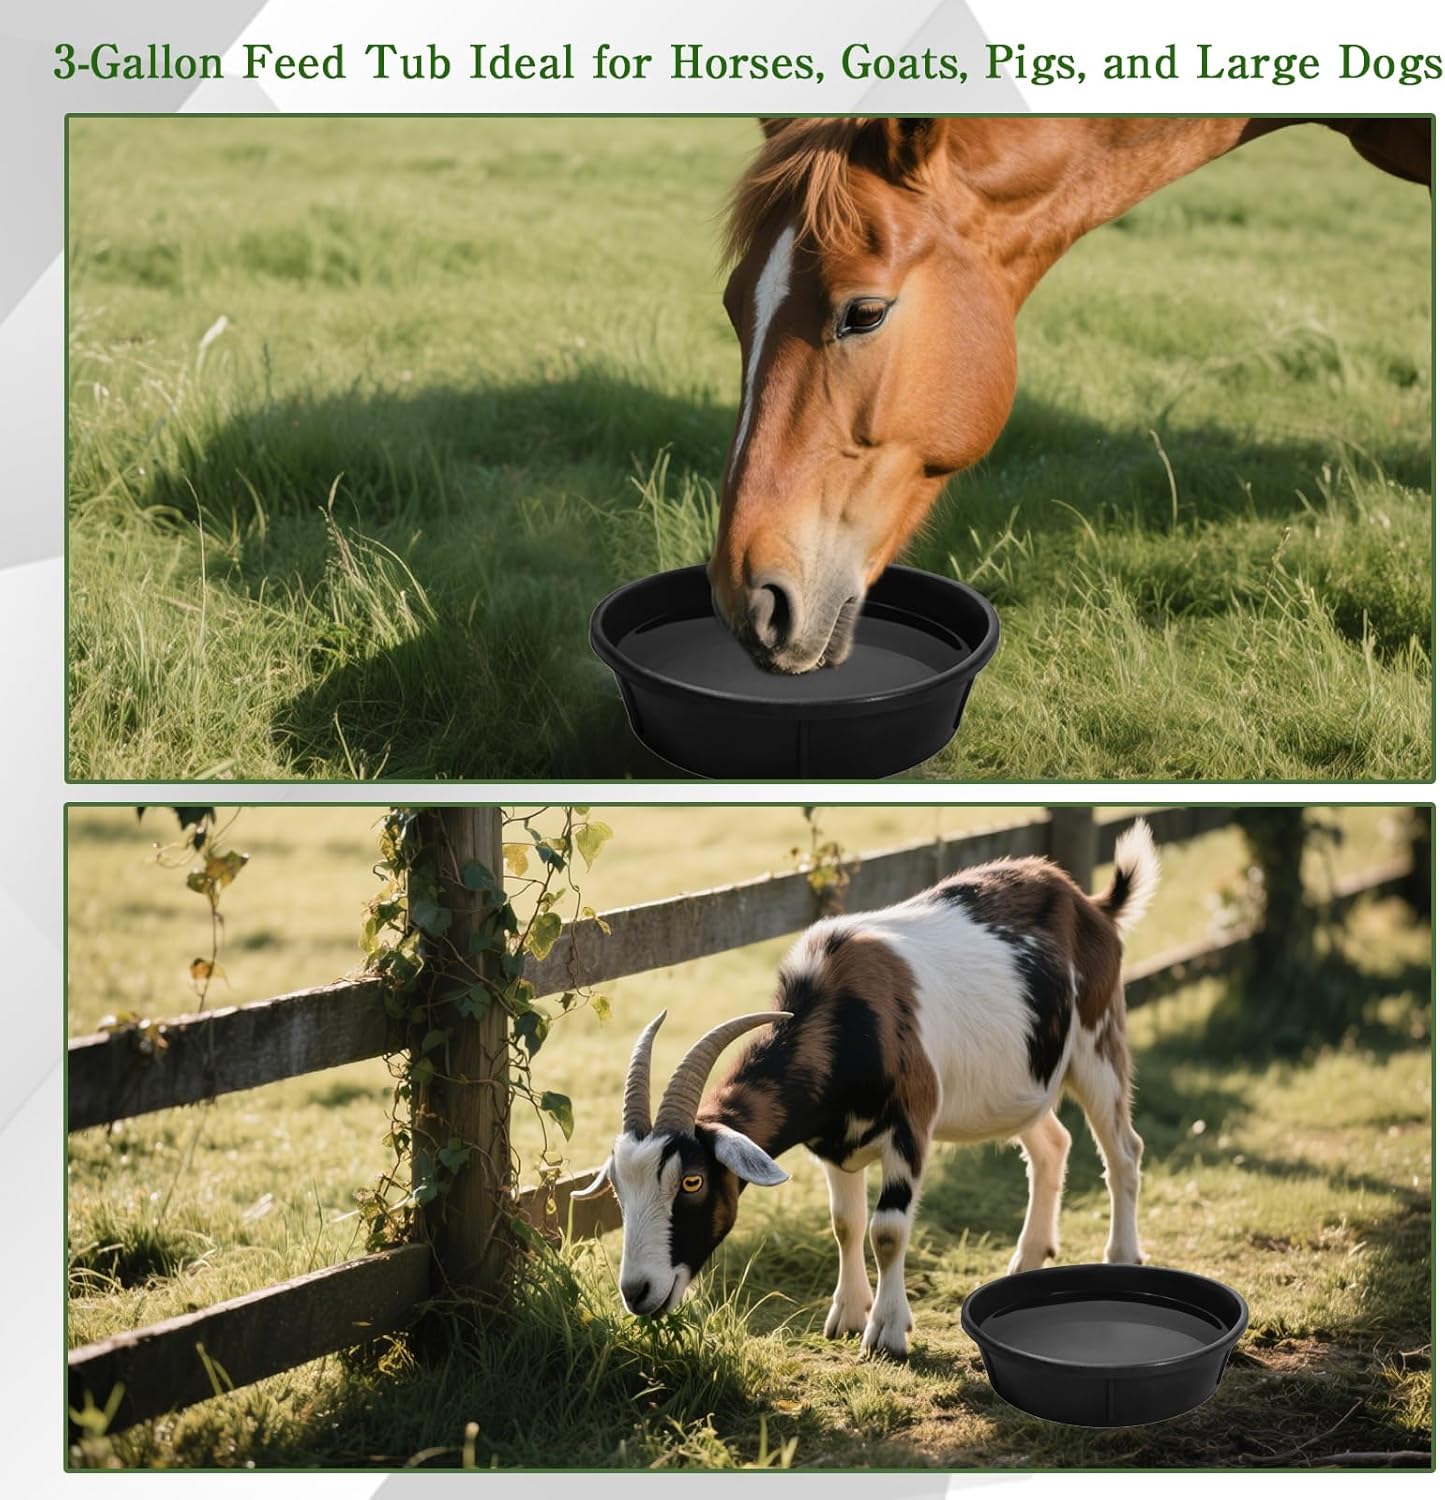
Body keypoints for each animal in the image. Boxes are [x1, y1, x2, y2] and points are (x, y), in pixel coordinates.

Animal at [573, 819, 1160, 1359]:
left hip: (1098, 1041)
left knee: (1124, 1149)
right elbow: (846, 1223)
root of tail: (1091, 904)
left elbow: (887, 1230)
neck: (840, 1015)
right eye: (618, 1188)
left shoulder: (911, 1125)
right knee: (1052, 1146)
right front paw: (847, 1316)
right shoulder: (835, 1143)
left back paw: (1122, 1256)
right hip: (1020, 1084)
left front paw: (887, 1332)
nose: (637, 1292)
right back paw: (1028, 1257)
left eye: (692, 1181)